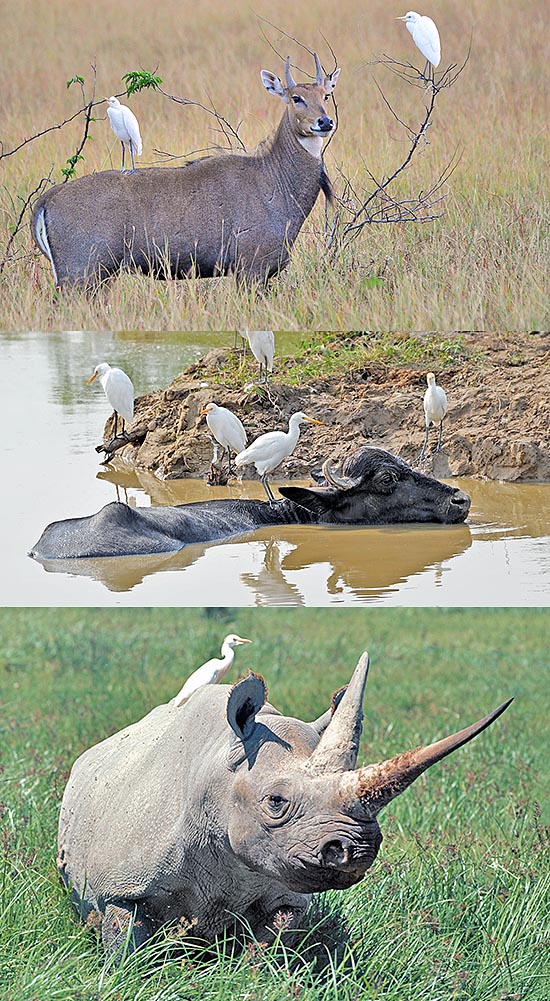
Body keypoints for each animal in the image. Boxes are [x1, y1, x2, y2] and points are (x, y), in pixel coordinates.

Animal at [31, 53, 338, 290]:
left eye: (326, 94)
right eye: (296, 97)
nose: (325, 121)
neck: (276, 183)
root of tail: (46, 200)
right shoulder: (250, 267)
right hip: (81, 272)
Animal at [57, 652, 512, 956]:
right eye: (276, 801)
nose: (358, 851)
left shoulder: (285, 890)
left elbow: (271, 947)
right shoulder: (120, 887)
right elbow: (125, 946)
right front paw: (129, 976)